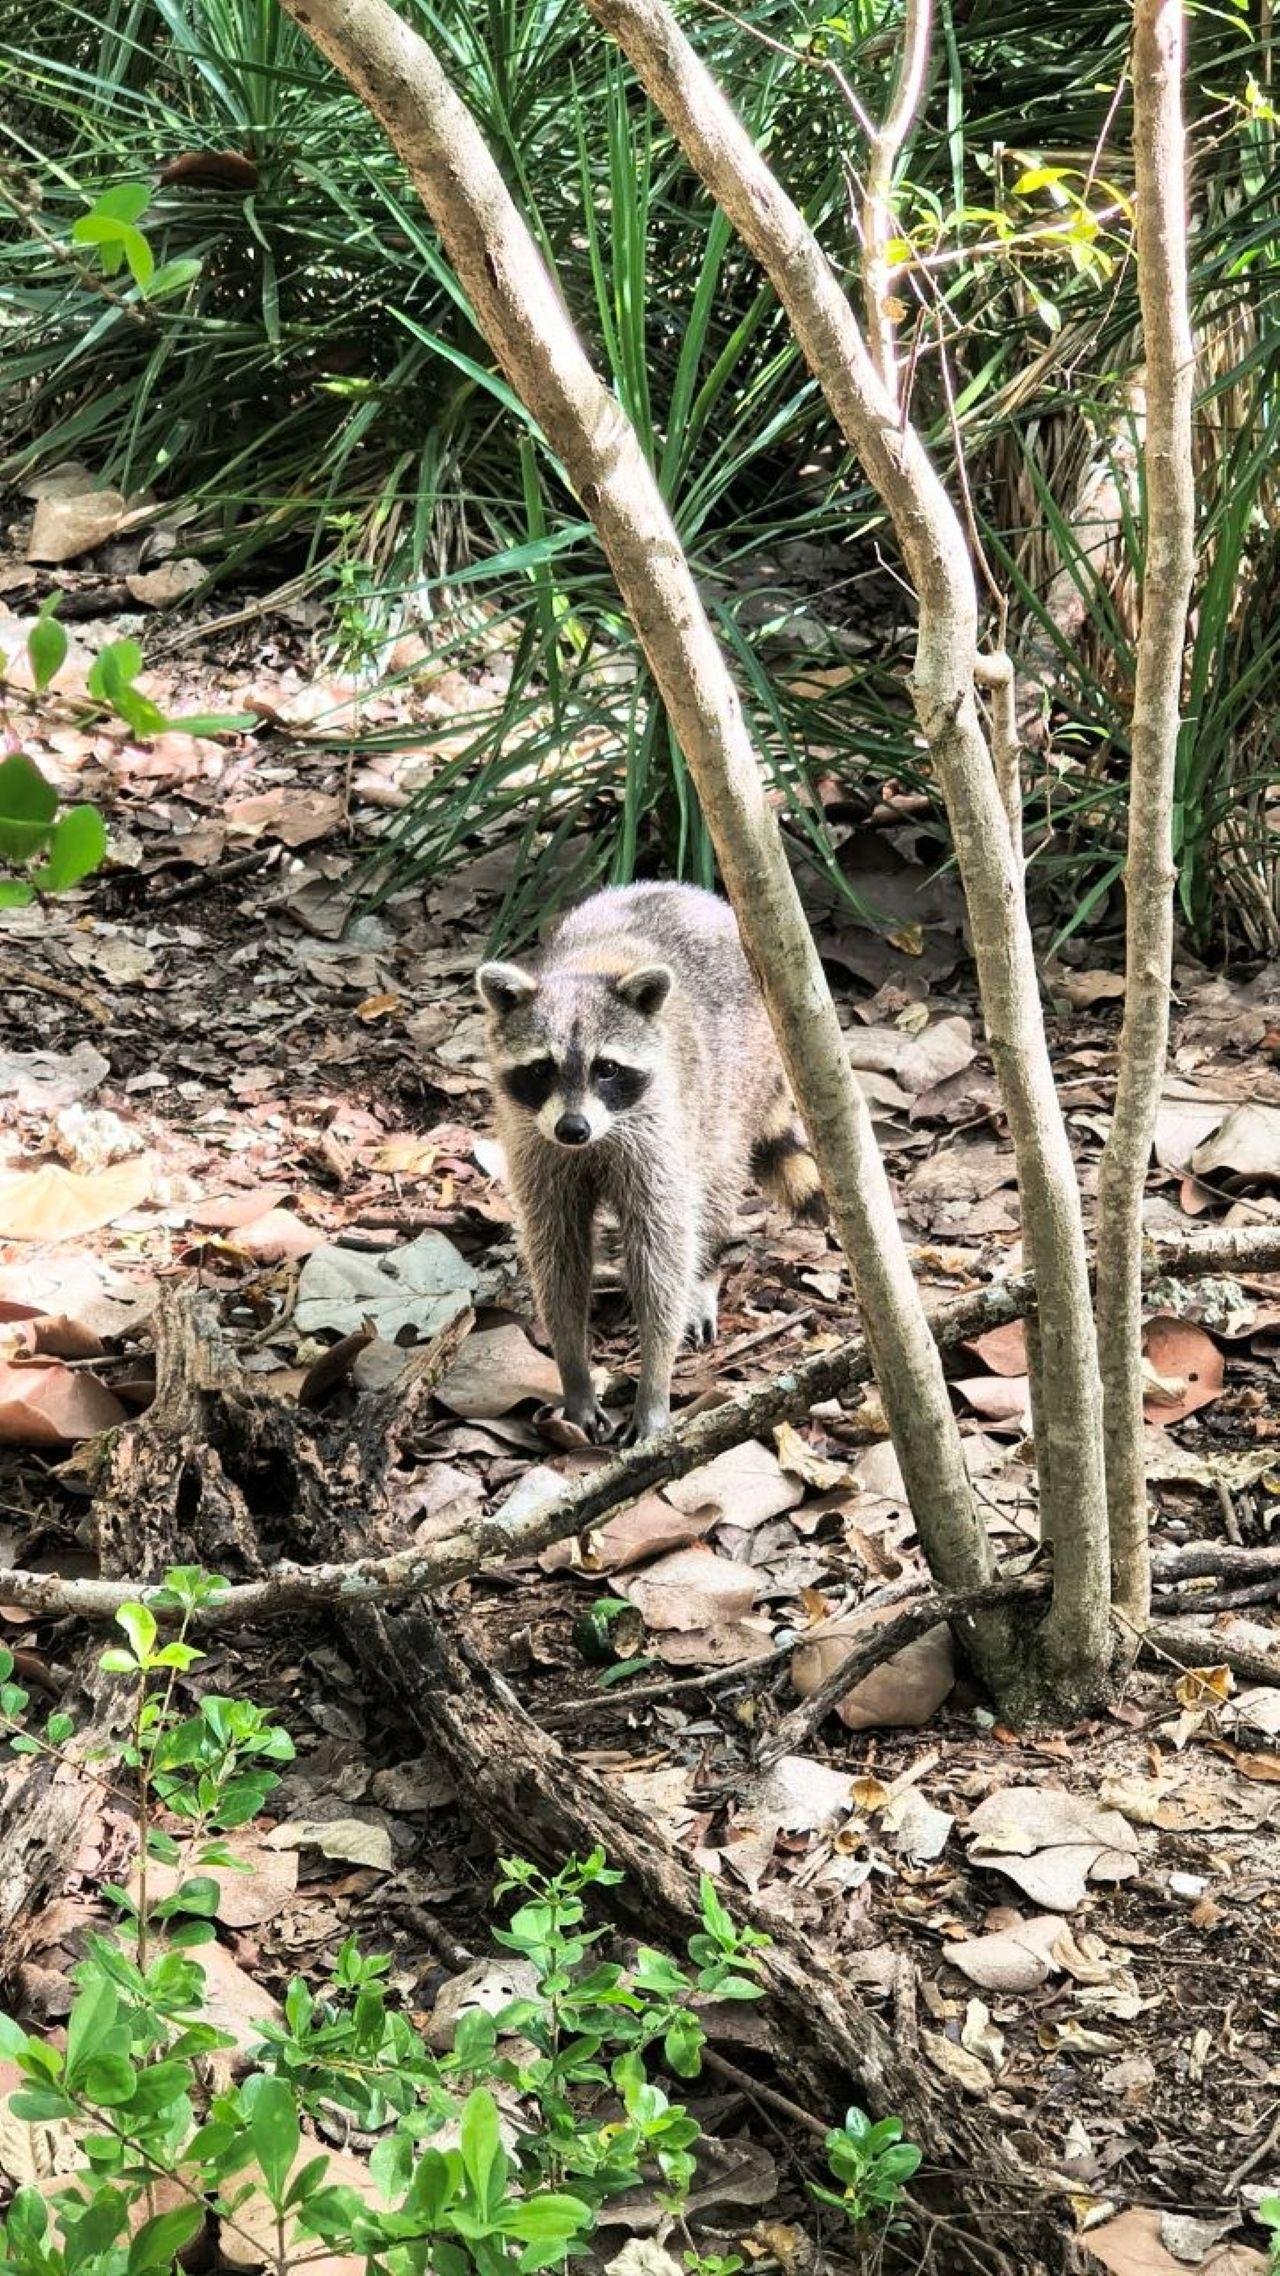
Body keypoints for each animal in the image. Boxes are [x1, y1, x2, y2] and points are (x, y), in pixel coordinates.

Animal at [476, 882, 823, 1444]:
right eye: (542, 1069)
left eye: (607, 1069)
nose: (574, 1129)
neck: (587, 970)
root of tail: (694, 894)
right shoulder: (534, 1142)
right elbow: (557, 1250)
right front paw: (574, 1370)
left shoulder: (658, 1131)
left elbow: (661, 1251)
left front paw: (654, 1381)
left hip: (736, 1081)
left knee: (712, 1189)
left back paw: (704, 1274)